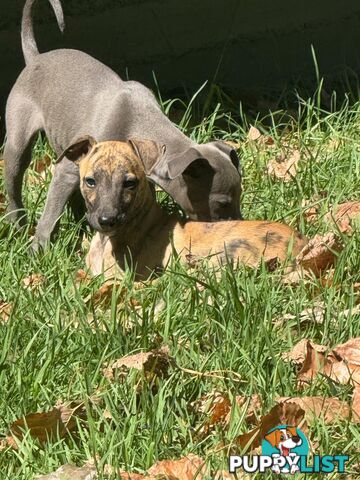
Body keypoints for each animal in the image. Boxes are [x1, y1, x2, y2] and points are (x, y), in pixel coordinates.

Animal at [3, 0, 242, 248]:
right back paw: (17, 225)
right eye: (222, 203)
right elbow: (50, 216)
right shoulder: (66, 170)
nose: (239, 225)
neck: (140, 121)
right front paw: (40, 248)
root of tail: (35, 58)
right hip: (18, 143)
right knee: (15, 183)